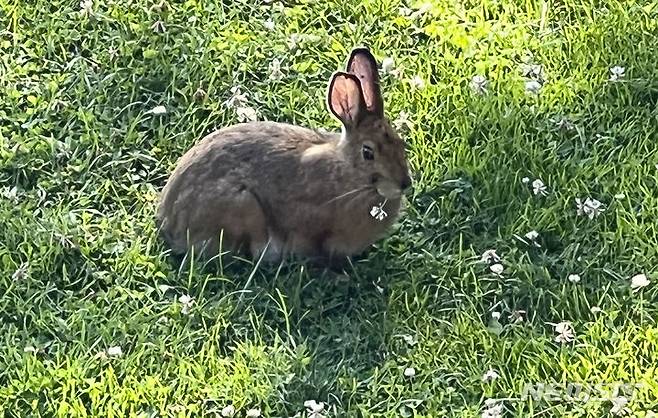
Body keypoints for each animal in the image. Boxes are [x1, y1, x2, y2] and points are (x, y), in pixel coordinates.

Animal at [156, 48, 410, 264]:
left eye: (401, 143)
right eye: (368, 152)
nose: (405, 184)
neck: (349, 176)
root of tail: (170, 221)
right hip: (244, 206)